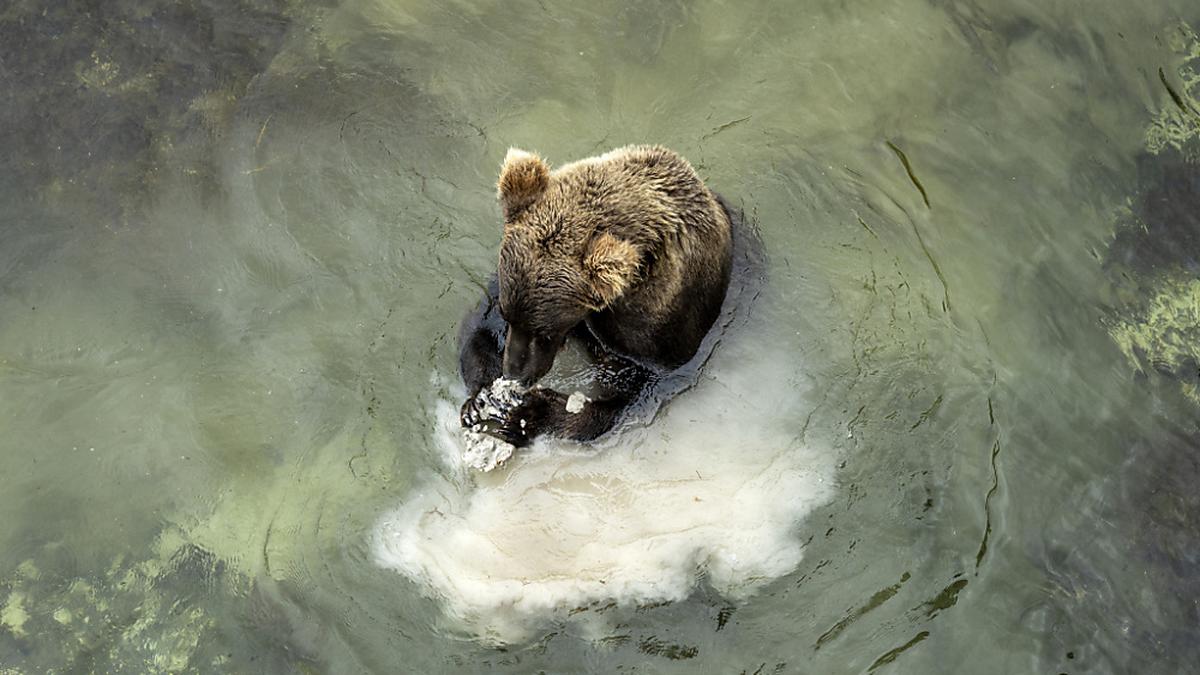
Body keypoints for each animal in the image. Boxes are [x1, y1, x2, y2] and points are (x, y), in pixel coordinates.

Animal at [458, 144, 739, 444]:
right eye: (508, 315)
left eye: (545, 333)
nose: (515, 374)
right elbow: (479, 328)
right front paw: (481, 399)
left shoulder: (658, 325)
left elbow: (622, 394)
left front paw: (529, 413)